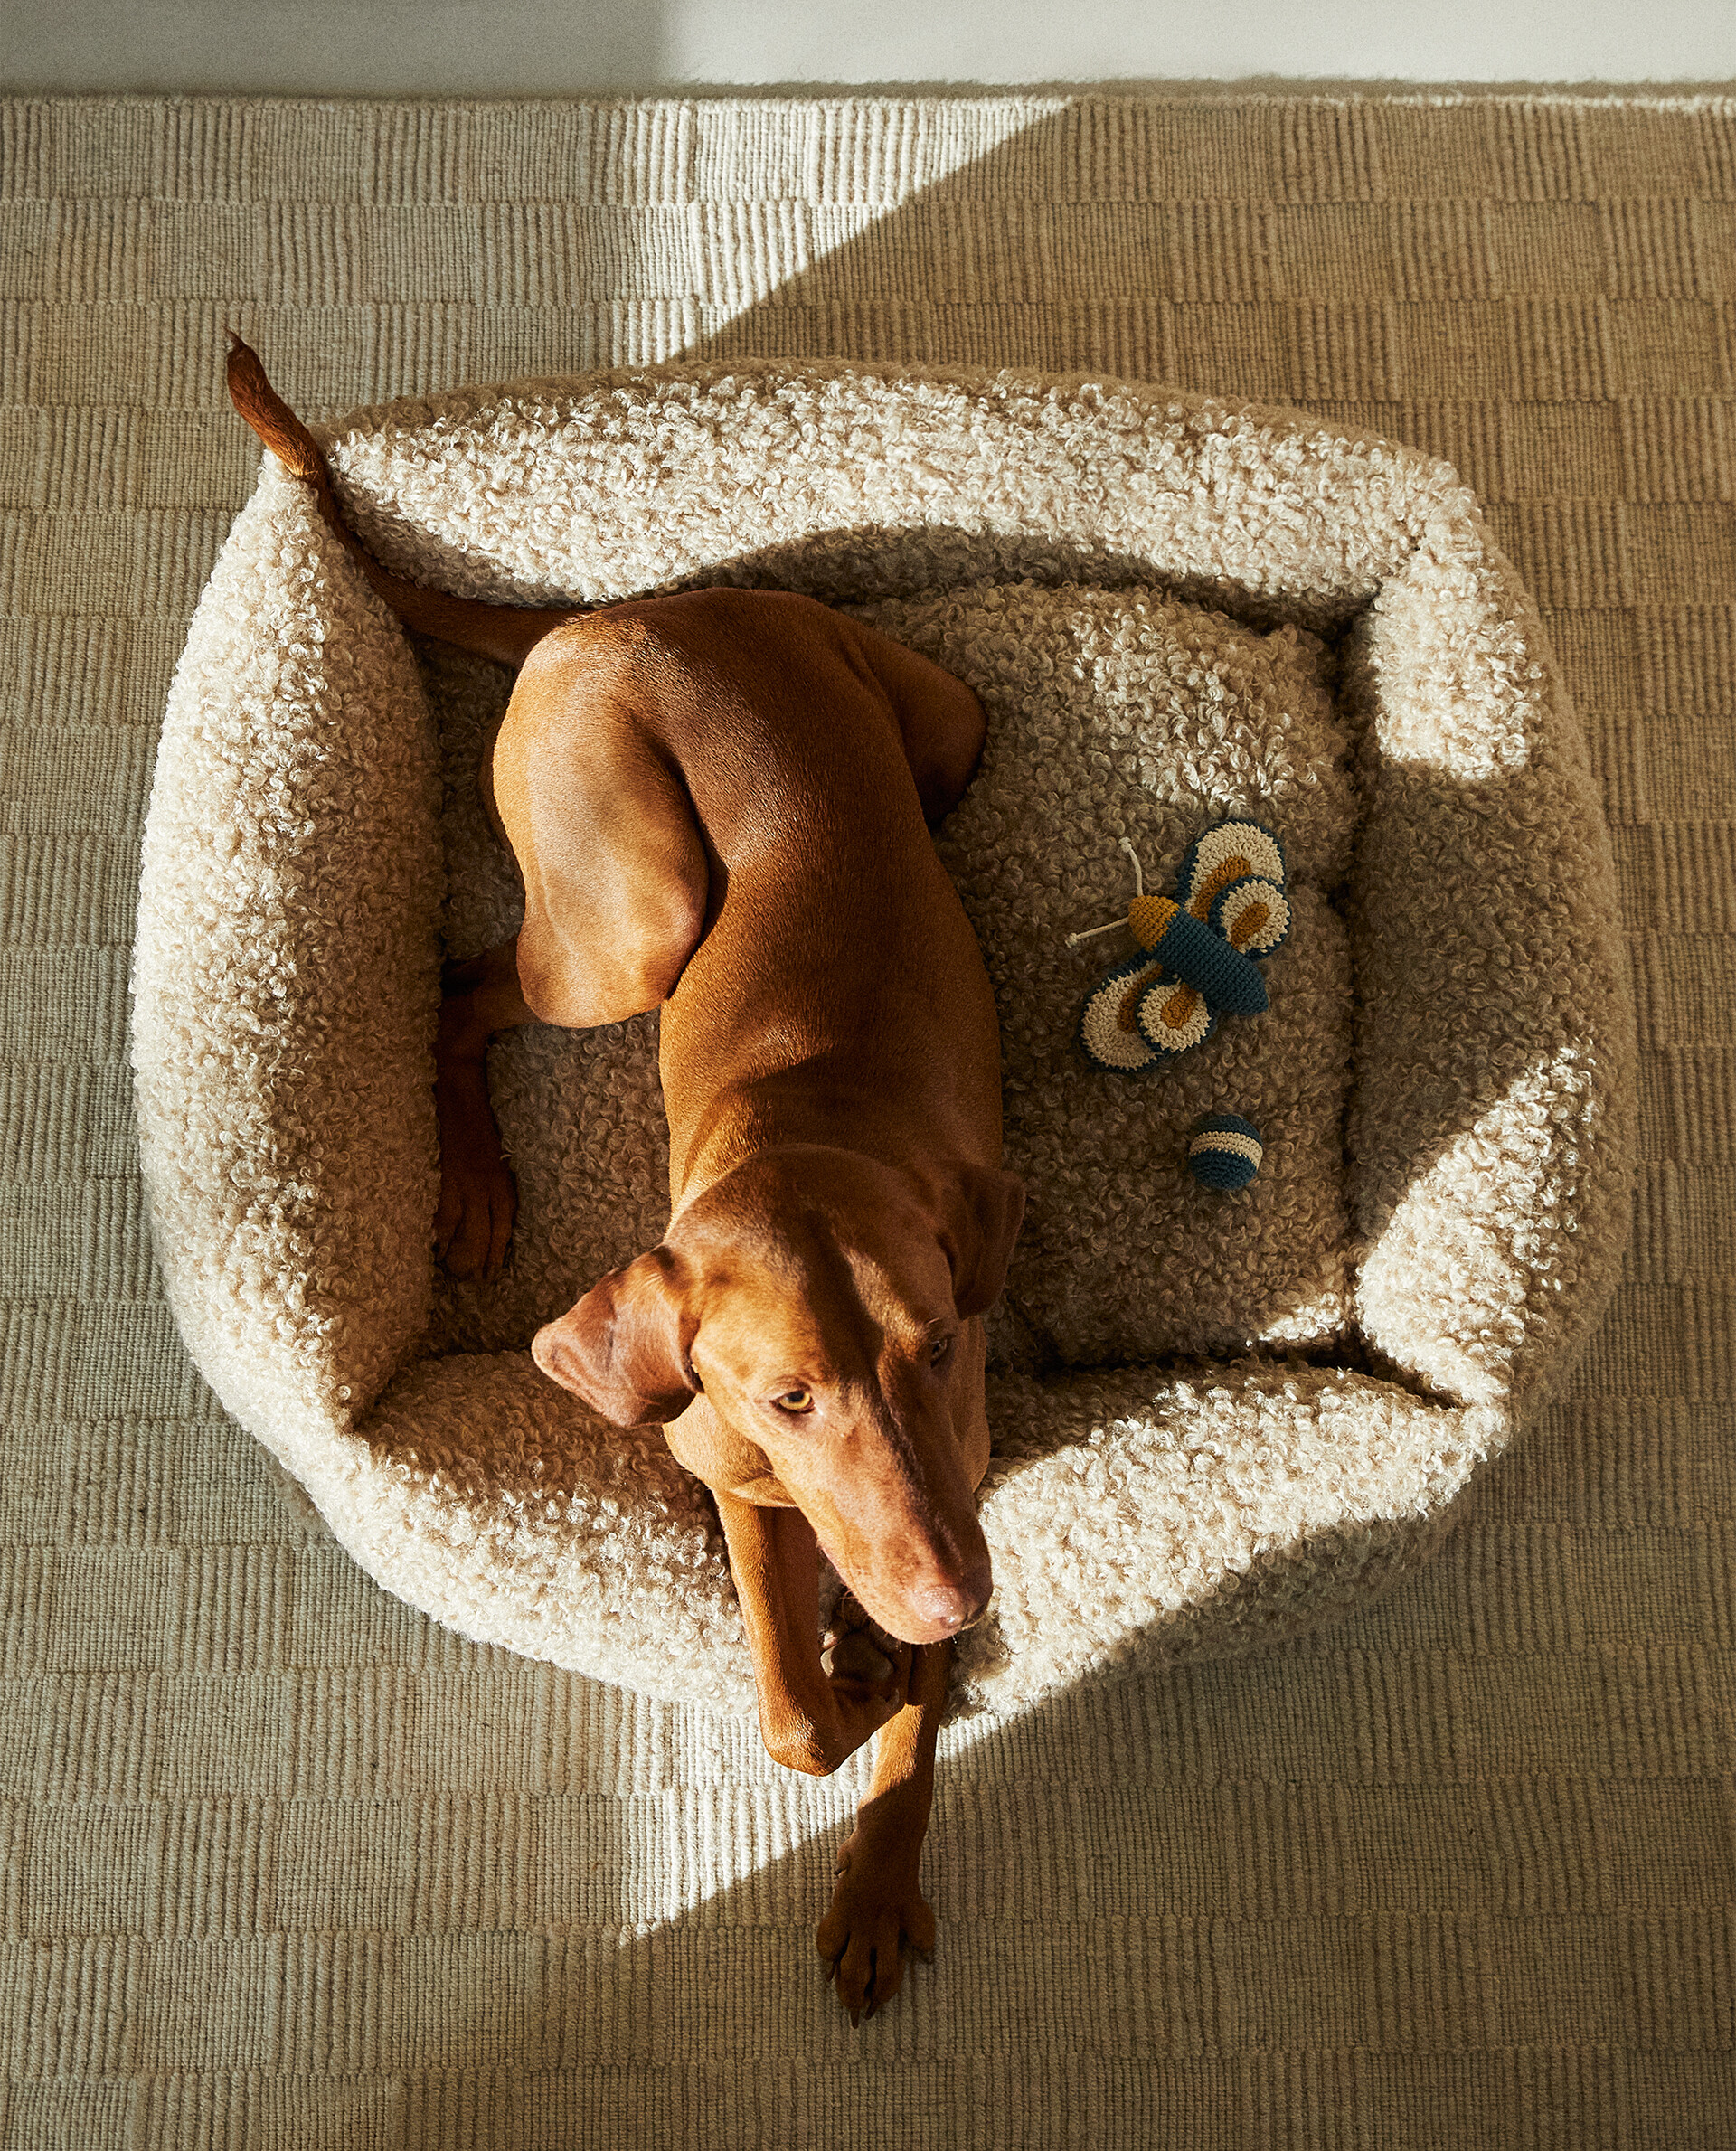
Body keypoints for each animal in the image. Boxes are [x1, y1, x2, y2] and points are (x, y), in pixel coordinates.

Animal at [225, 344, 1024, 2022]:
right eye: (788, 1394)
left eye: (936, 1347)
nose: (953, 1603)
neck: (802, 1128)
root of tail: (616, 611)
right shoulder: (727, 1472)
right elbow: (794, 1711)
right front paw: (848, 1668)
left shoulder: (961, 1490)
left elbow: (899, 1738)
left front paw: (877, 1865)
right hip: (637, 921)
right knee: (460, 987)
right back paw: (471, 1177)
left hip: (939, 724)